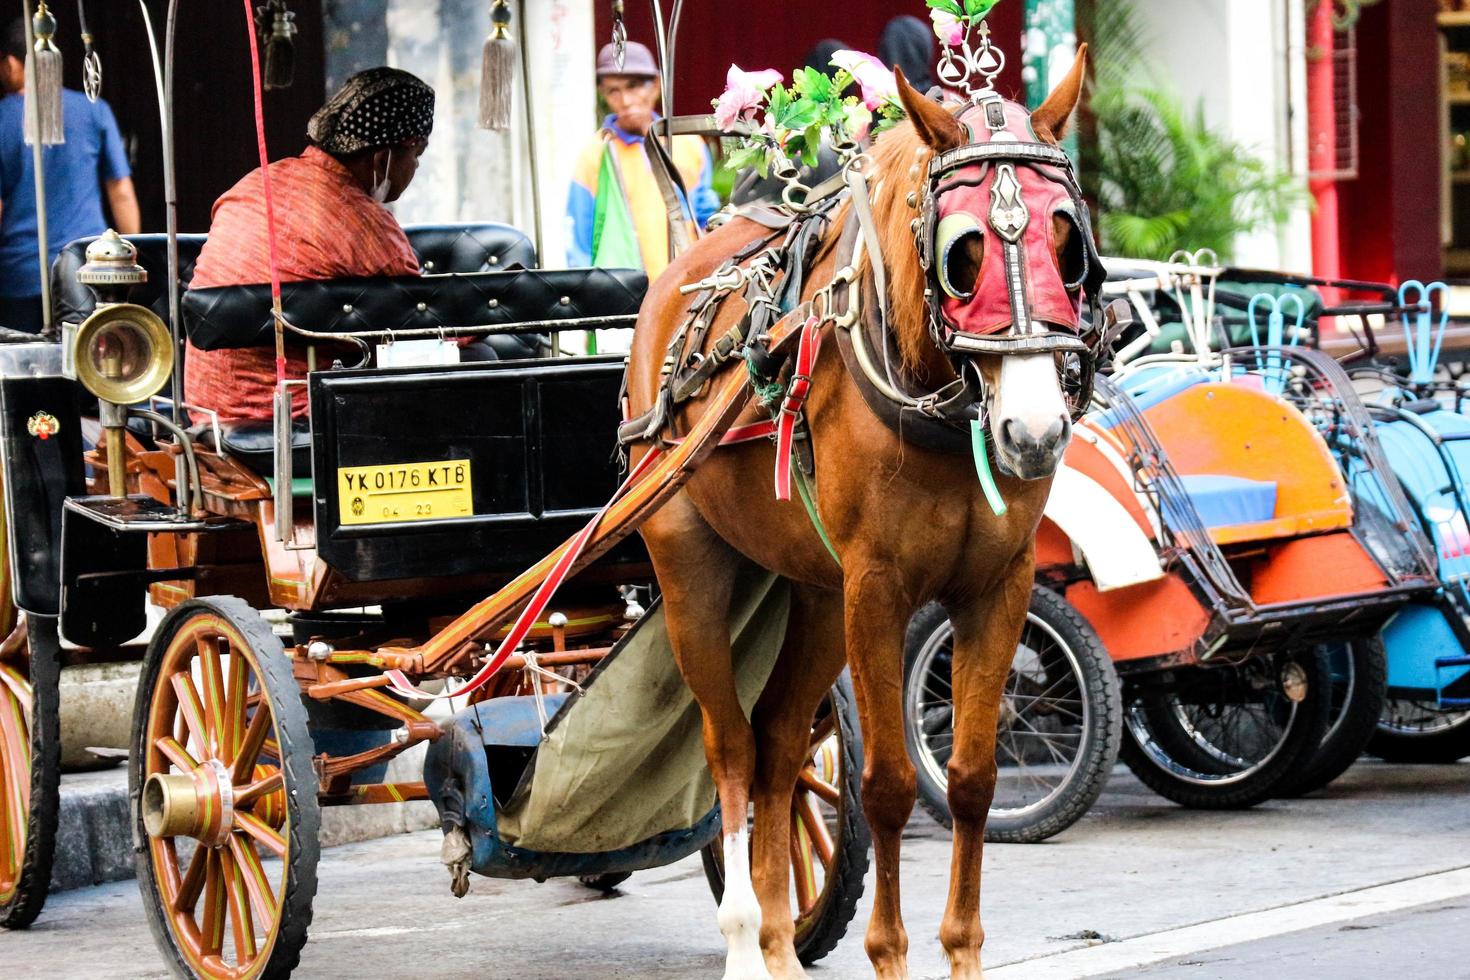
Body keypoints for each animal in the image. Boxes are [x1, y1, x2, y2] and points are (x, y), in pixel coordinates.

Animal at [626, 53, 1087, 980]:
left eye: (1066, 242)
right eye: (964, 253)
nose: (1034, 432)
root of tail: (683, 264)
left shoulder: (1000, 586)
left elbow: (973, 777)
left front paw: (961, 953)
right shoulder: (876, 590)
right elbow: (888, 786)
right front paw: (889, 954)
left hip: (812, 594)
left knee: (778, 745)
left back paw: (778, 937)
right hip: (693, 571)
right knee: (731, 746)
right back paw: (743, 939)